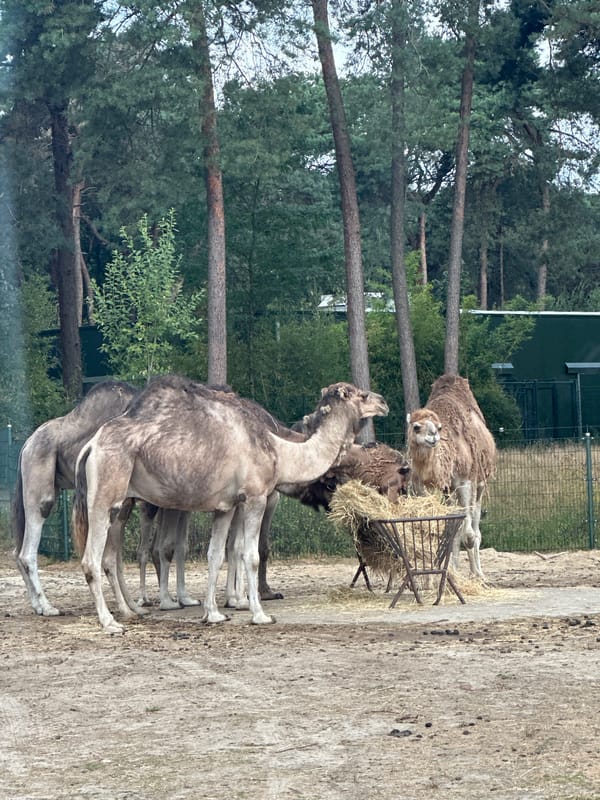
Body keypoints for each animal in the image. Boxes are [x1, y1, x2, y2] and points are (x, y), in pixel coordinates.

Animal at [12, 380, 138, 616]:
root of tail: (26, 446)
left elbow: (117, 559)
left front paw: (134, 605)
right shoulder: (120, 501)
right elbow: (112, 559)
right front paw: (127, 608)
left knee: (16, 551)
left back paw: (37, 606)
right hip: (40, 490)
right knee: (26, 552)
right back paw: (48, 607)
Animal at [72, 375, 389, 633]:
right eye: (361, 395)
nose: (383, 402)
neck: (280, 450)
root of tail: (91, 446)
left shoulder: (224, 507)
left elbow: (215, 555)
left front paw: (213, 614)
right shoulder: (255, 497)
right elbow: (251, 555)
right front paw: (259, 614)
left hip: (119, 502)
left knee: (109, 556)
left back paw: (129, 611)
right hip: (106, 495)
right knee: (92, 558)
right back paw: (110, 622)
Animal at [406, 374, 496, 579]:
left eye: (439, 427)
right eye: (416, 427)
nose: (433, 437)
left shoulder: (465, 480)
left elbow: (468, 535)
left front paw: (473, 575)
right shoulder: (426, 487)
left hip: (480, 483)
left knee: (475, 526)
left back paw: (478, 573)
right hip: (449, 492)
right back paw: (456, 568)